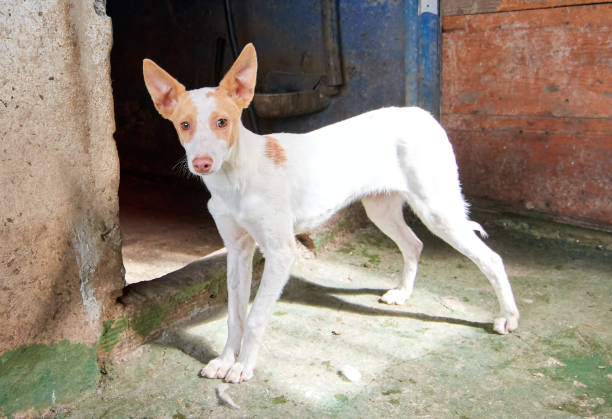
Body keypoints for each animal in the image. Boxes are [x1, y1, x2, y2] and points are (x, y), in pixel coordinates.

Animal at [145, 43, 520, 384]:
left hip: (438, 211)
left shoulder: (280, 252)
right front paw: (225, 360)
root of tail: (421, 114)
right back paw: (403, 293)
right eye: (184, 125)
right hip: (381, 209)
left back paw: (508, 316)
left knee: (491, 259)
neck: (235, 177)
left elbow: (255, 317)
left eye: (222, 122)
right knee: (413, 244)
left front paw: (243, 366)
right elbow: (235, 315)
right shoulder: (237, 251)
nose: (202, 164)